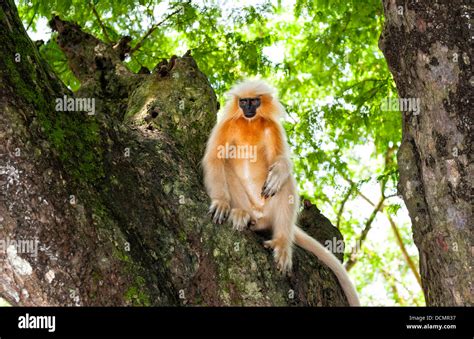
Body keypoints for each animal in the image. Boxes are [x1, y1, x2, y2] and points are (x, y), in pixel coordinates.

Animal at [200, 80, 360, 308]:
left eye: (254, 101)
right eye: (244, 101)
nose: (248, 109)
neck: (249, 124)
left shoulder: (272, 127)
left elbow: (281, 161)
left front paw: (278, 172)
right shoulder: (226, 125)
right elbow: (215, 159)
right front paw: (221, 202)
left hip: (270, 211)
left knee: (285, 182)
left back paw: (282, 243)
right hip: (250, 205)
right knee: (228, 169)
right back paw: (241, 214)